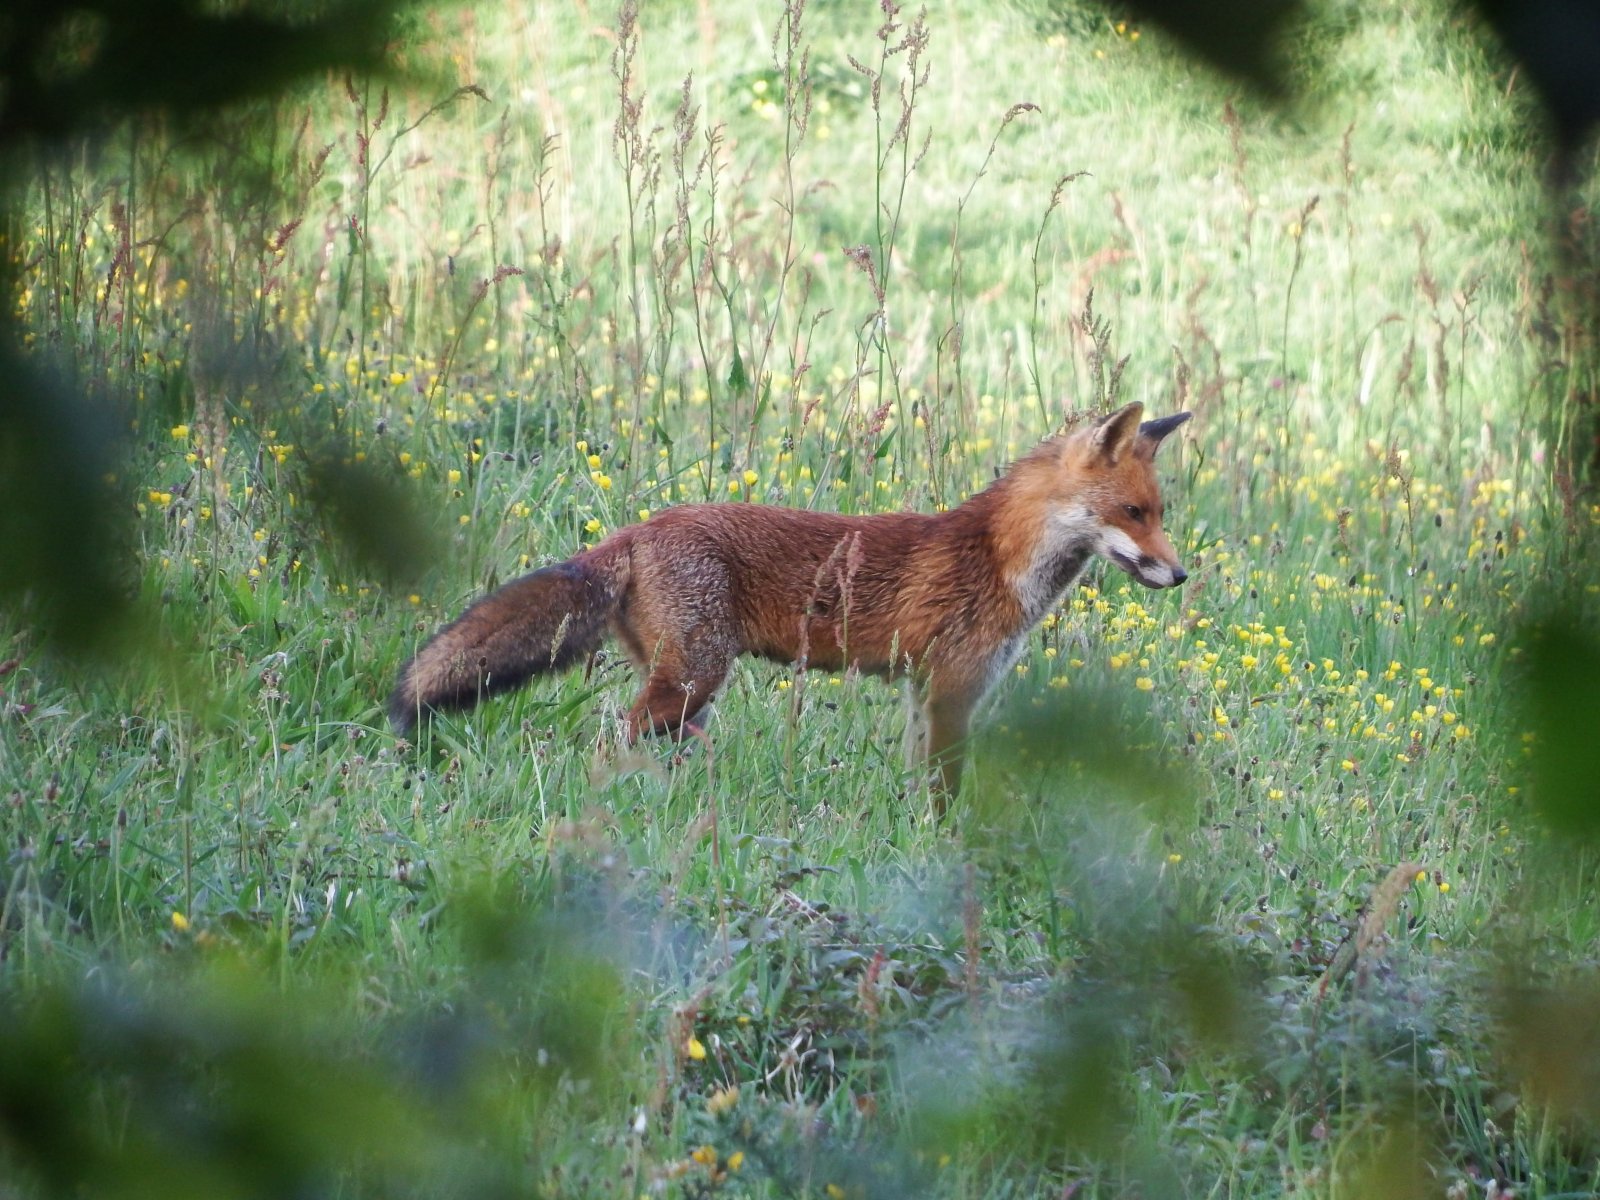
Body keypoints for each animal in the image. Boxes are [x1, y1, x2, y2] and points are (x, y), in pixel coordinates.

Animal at [389, 401, 1191, 804]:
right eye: (1132, 513)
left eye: (1159, 512)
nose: (1180, 575)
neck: (999, 558)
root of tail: (638, 528)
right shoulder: (954, 689)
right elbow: (947, 792)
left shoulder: (923, 692)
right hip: (692, 680)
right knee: (613, 739)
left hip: (684, 688)